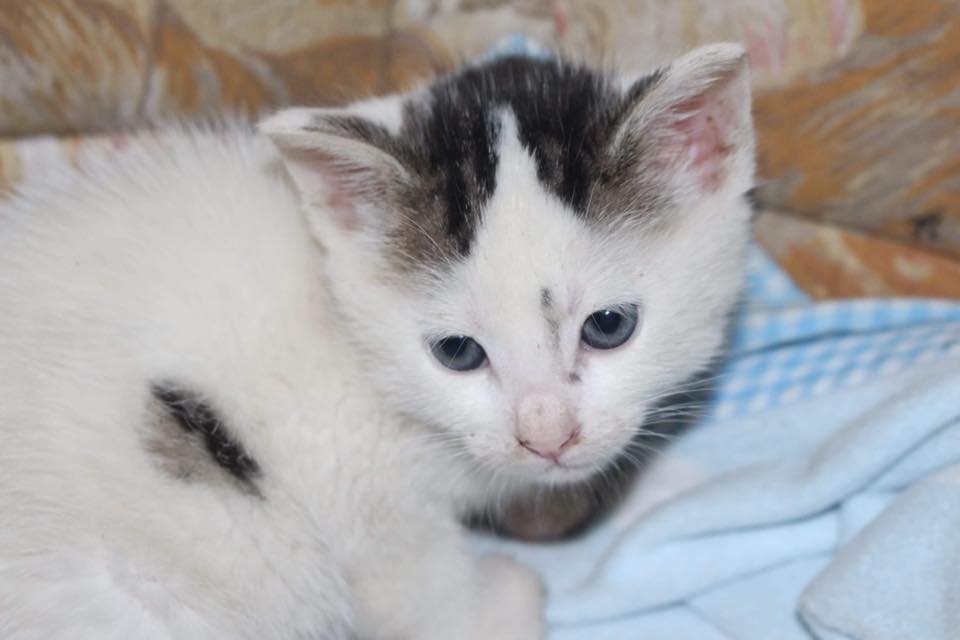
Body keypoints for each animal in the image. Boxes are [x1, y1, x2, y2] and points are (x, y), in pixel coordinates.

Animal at [0, 43, 755, 639]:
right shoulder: (351, 482)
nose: (546, 436)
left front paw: (664, 488)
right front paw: (502, 606)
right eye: (457, 352)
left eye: (608, 326)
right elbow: (419, 586)